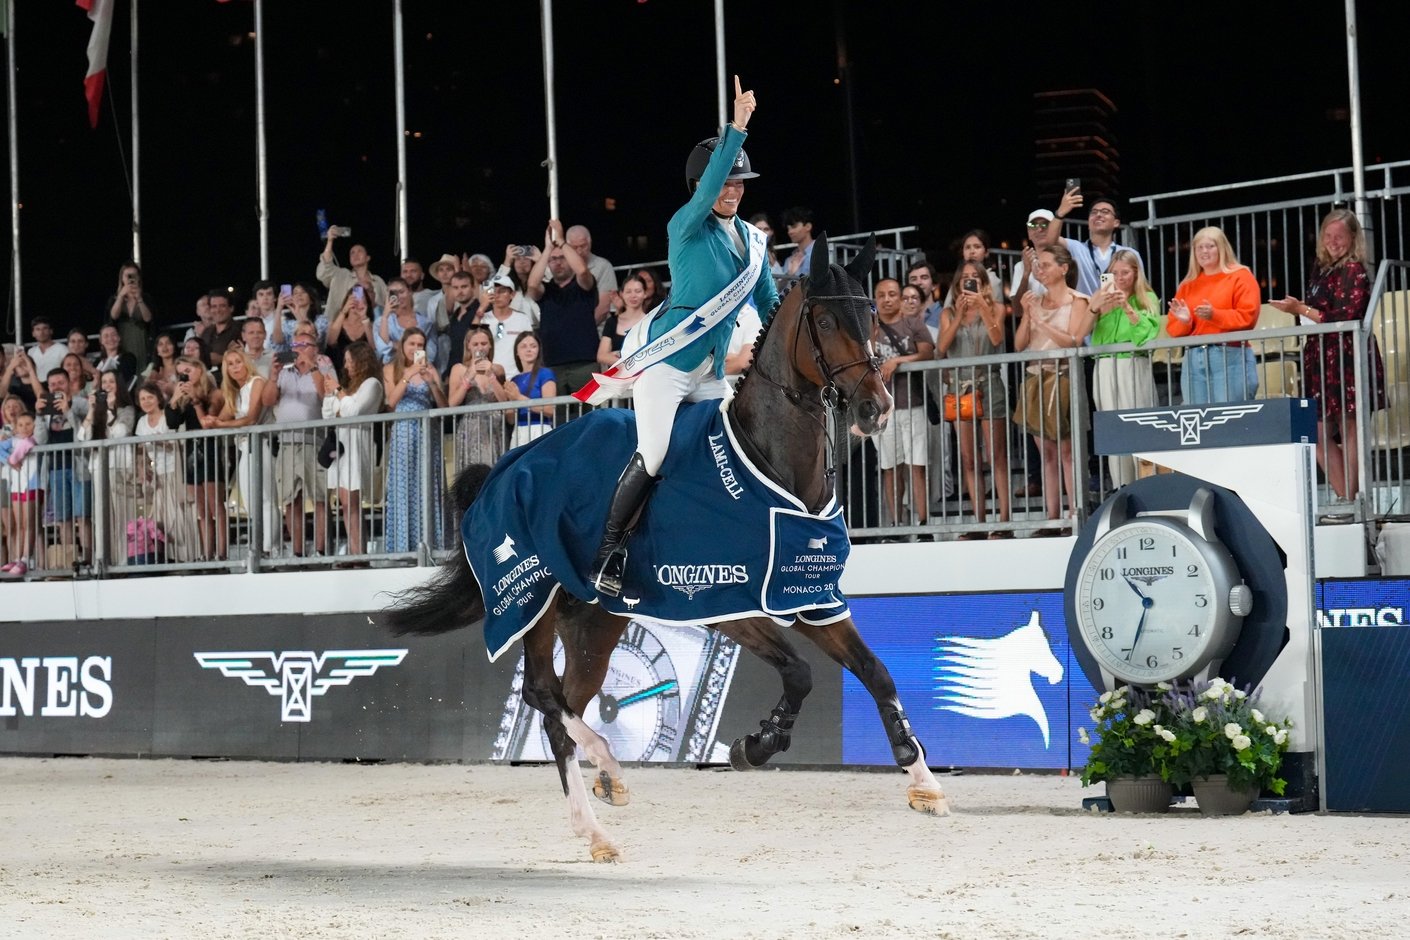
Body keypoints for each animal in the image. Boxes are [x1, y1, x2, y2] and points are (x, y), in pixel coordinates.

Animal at [389, 233, 947, 862]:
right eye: (826, 321)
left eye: (873, 316)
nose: (877, 408)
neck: (770, 464)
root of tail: (507, 465)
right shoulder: (721, 599)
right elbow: (800, 673)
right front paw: (757, 743)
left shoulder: (809, 595)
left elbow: (877, 672)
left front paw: (922, 779)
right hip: (531, 601)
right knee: (542, 695)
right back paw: (605, 781)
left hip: (595, 624)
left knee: (566, 702)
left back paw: (599, 810)